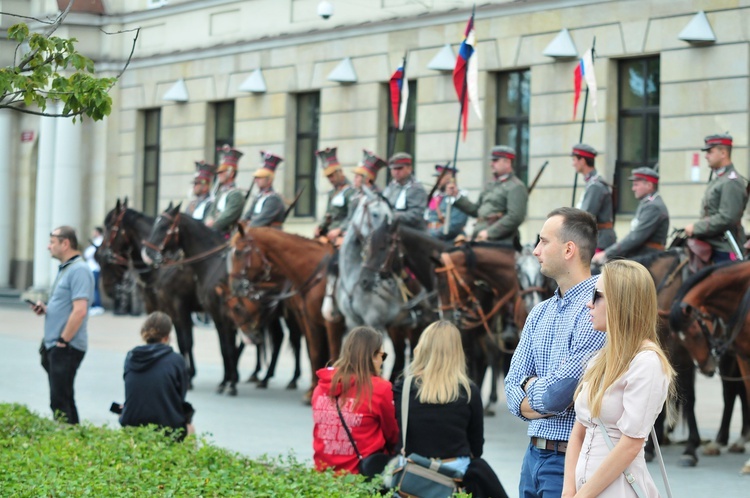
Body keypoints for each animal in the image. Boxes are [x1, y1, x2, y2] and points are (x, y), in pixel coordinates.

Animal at [228, 224, 342, 398]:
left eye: (239, 252)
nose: (234, 285)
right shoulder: (306, 318)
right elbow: (314, 351)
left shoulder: (328, 322)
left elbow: (327, 351)